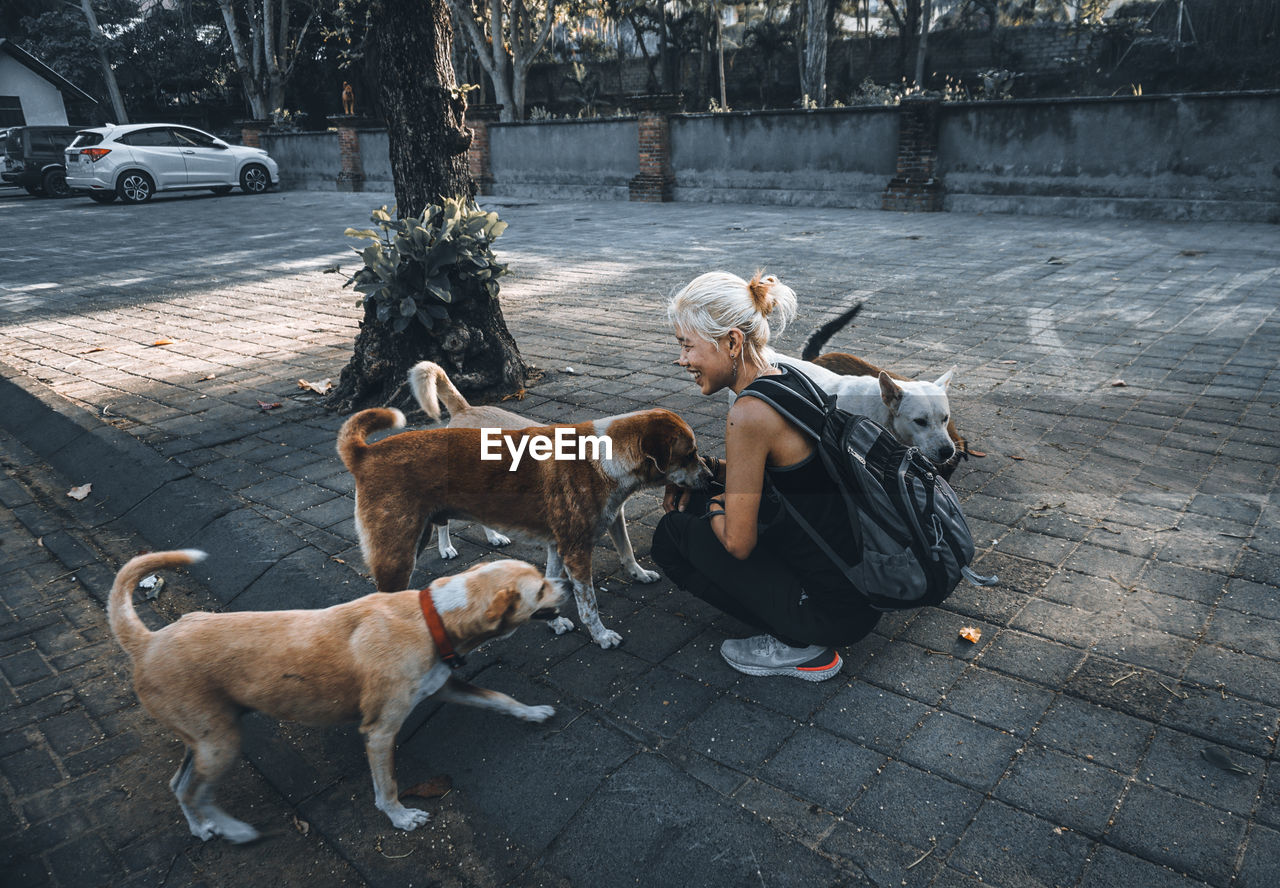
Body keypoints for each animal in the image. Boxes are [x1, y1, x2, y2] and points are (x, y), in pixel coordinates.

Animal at [112, 552, 563, 844]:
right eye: (541, 588)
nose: (567, 582)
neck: (431, 616)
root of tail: (146, 642)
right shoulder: (379, 732)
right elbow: (387, 787)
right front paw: (400, 817)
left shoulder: (446, 685)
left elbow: (499, 697)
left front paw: (534, 712)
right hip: (220, 743)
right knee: (193, 791)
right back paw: (233, 829)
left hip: (206, 738)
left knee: (179, 785)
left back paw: (201, 826)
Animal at [337, 406, 711, 650]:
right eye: (689, 454)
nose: (710, 477)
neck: (604, 458)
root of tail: (364, 453)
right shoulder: (577, 551)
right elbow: (588, 603)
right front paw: (601, 636)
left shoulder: (558, 547)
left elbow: (553, 583)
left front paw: (555, 621)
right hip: (398, 554)